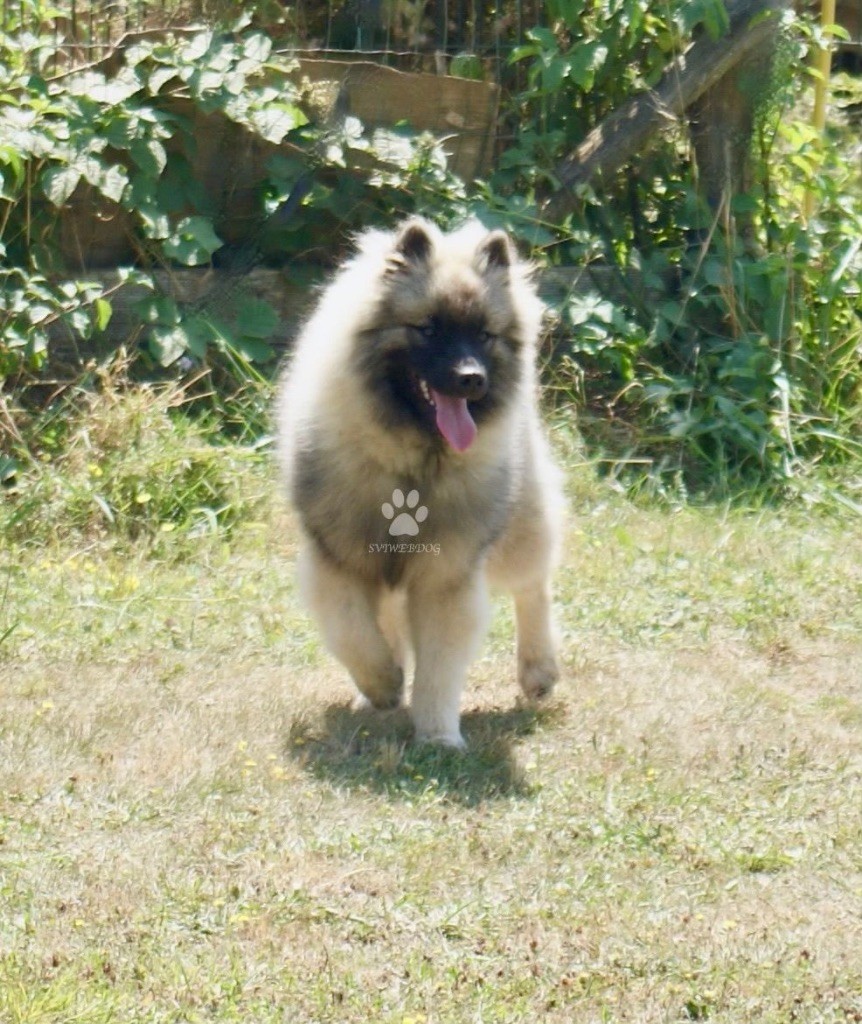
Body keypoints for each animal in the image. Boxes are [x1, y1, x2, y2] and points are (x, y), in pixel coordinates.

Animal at [276, 216, 565, 749]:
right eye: (428, 329)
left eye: (484, 334)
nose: (471, 377)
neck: (410, 466)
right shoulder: (339, 561)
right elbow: (355, 633)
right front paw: (382, 685)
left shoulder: (445, 576)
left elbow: (439, 666)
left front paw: (437, 735)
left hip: (519, 527)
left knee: (533, 586)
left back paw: (538, 670)